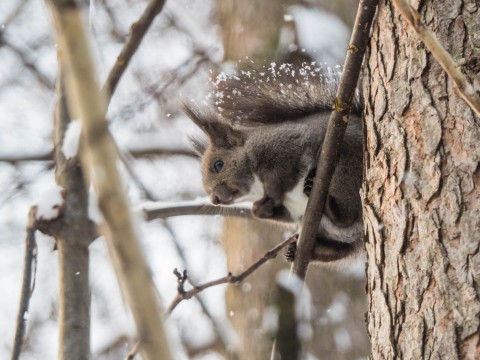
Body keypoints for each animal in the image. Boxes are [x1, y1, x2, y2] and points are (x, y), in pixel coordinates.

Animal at [186, 62, 362, 264]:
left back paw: (329, 204)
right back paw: (296, 251)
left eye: (218, 165)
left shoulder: (289, 141)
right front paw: (261, 209)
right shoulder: (293, 210)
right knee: (338, 250)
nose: (214, 200)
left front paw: (273, 190)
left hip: (347, 168)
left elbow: (281, 172)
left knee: (346, 216)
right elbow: (272, 213)